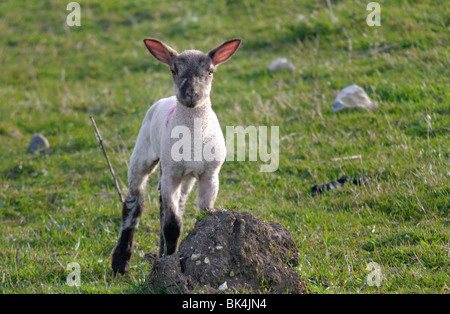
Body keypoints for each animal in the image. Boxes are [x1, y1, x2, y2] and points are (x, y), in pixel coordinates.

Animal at [110, 37, 241, 274]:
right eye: (173, 70)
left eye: (210, 71)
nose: (191, 94)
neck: (193, 140)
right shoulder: (170, 174)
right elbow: (171, 226)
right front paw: (170, 262)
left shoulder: (210, 174)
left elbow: (203, 214)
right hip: (144, 152)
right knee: (134, 203)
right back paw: (120, 262)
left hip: (186, 176)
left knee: (177, 204)